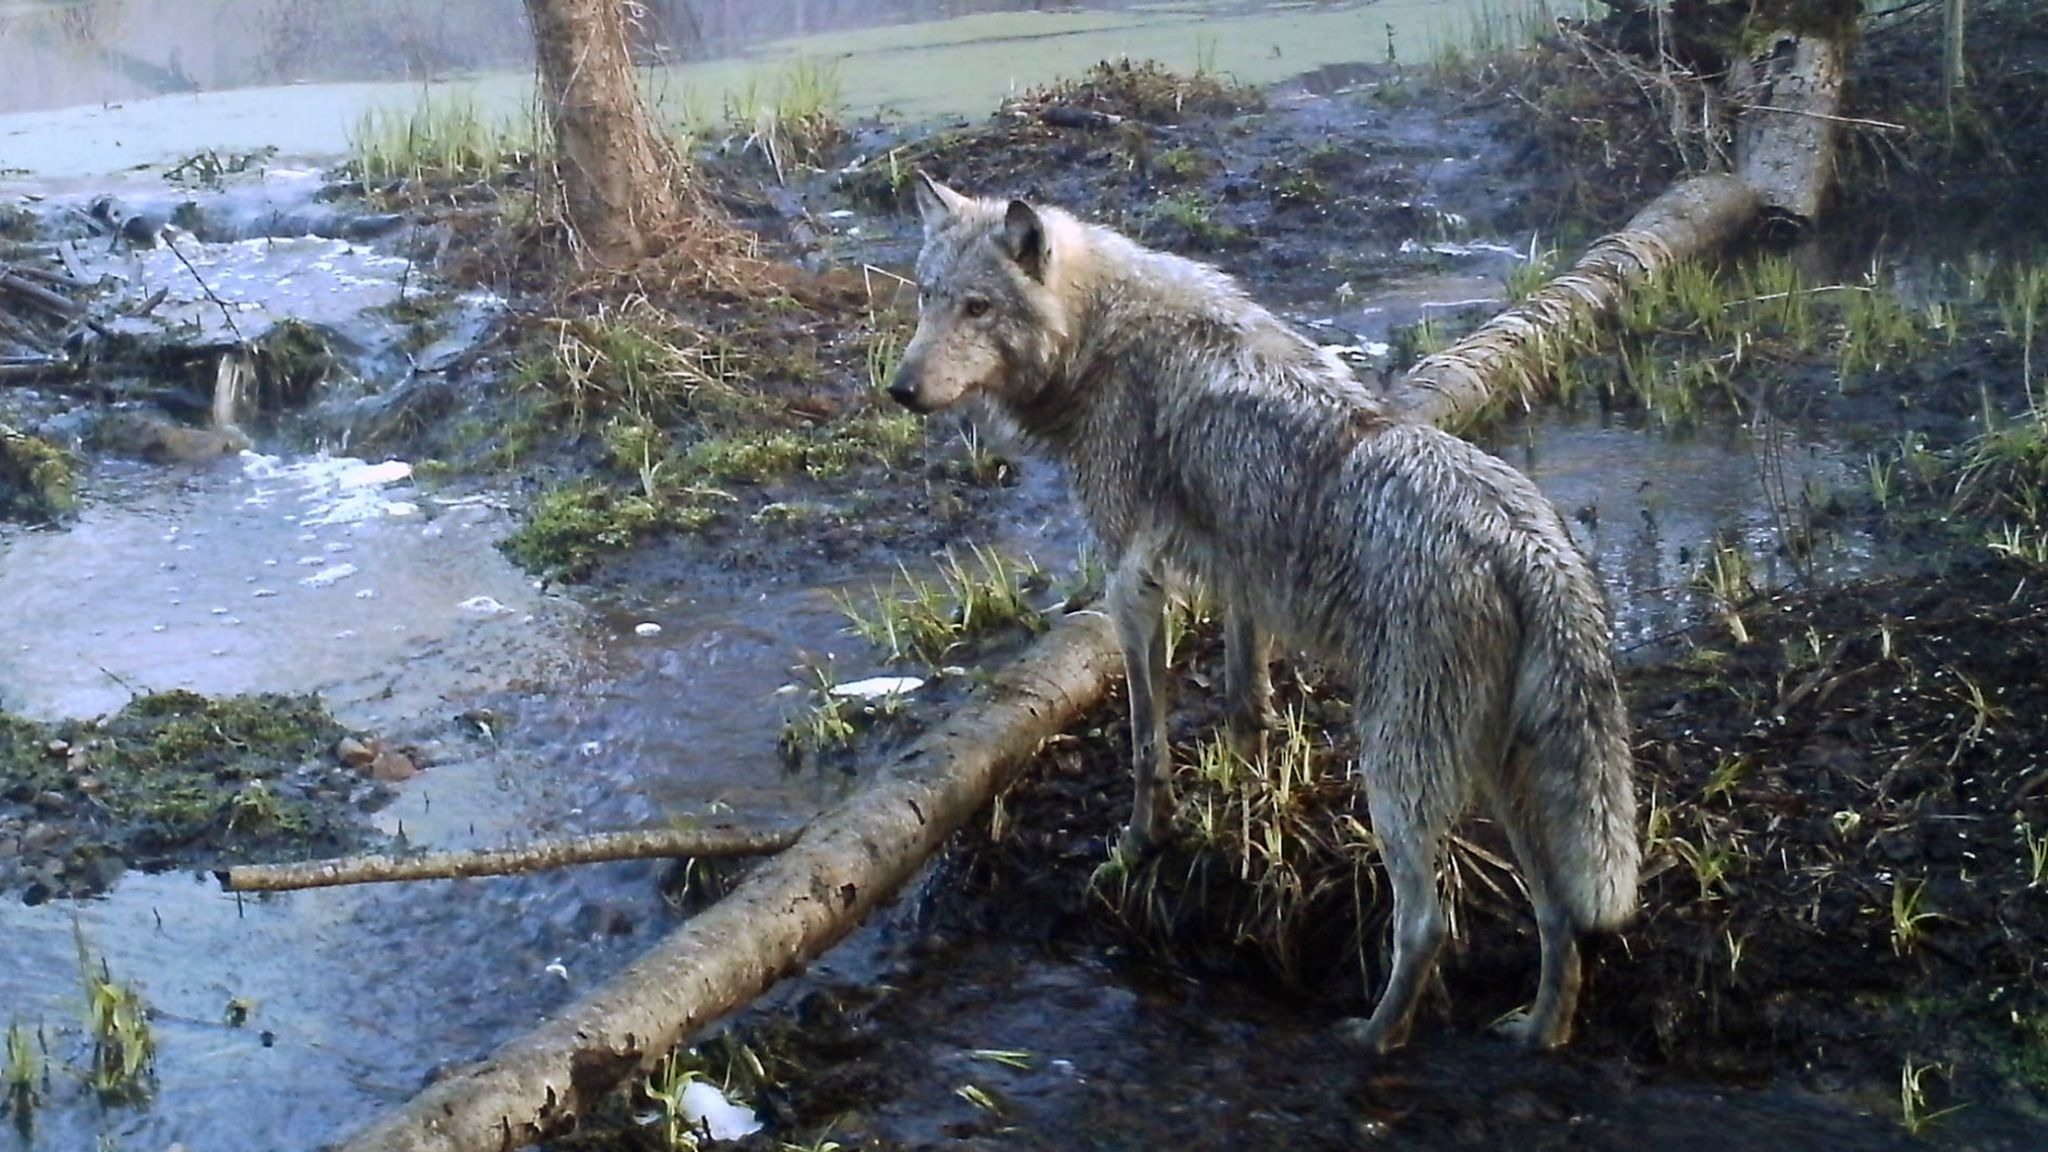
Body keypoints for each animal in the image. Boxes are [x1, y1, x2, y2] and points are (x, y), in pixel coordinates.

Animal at [888, 172, 1638, 1049]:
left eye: (978, 308)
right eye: (928, 297)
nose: (900, 390)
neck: (1103, 338)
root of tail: (1527, 544)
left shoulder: (1133, 583)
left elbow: (1146, 744)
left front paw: (1140, 845)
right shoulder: (1240, 578)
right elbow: (1246, 706)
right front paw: (1242, 811)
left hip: (1399, 776)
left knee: (1427, 925)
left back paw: (1371, 1039)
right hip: (1498, 775)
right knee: (1558, 915)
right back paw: (1537, 1033)